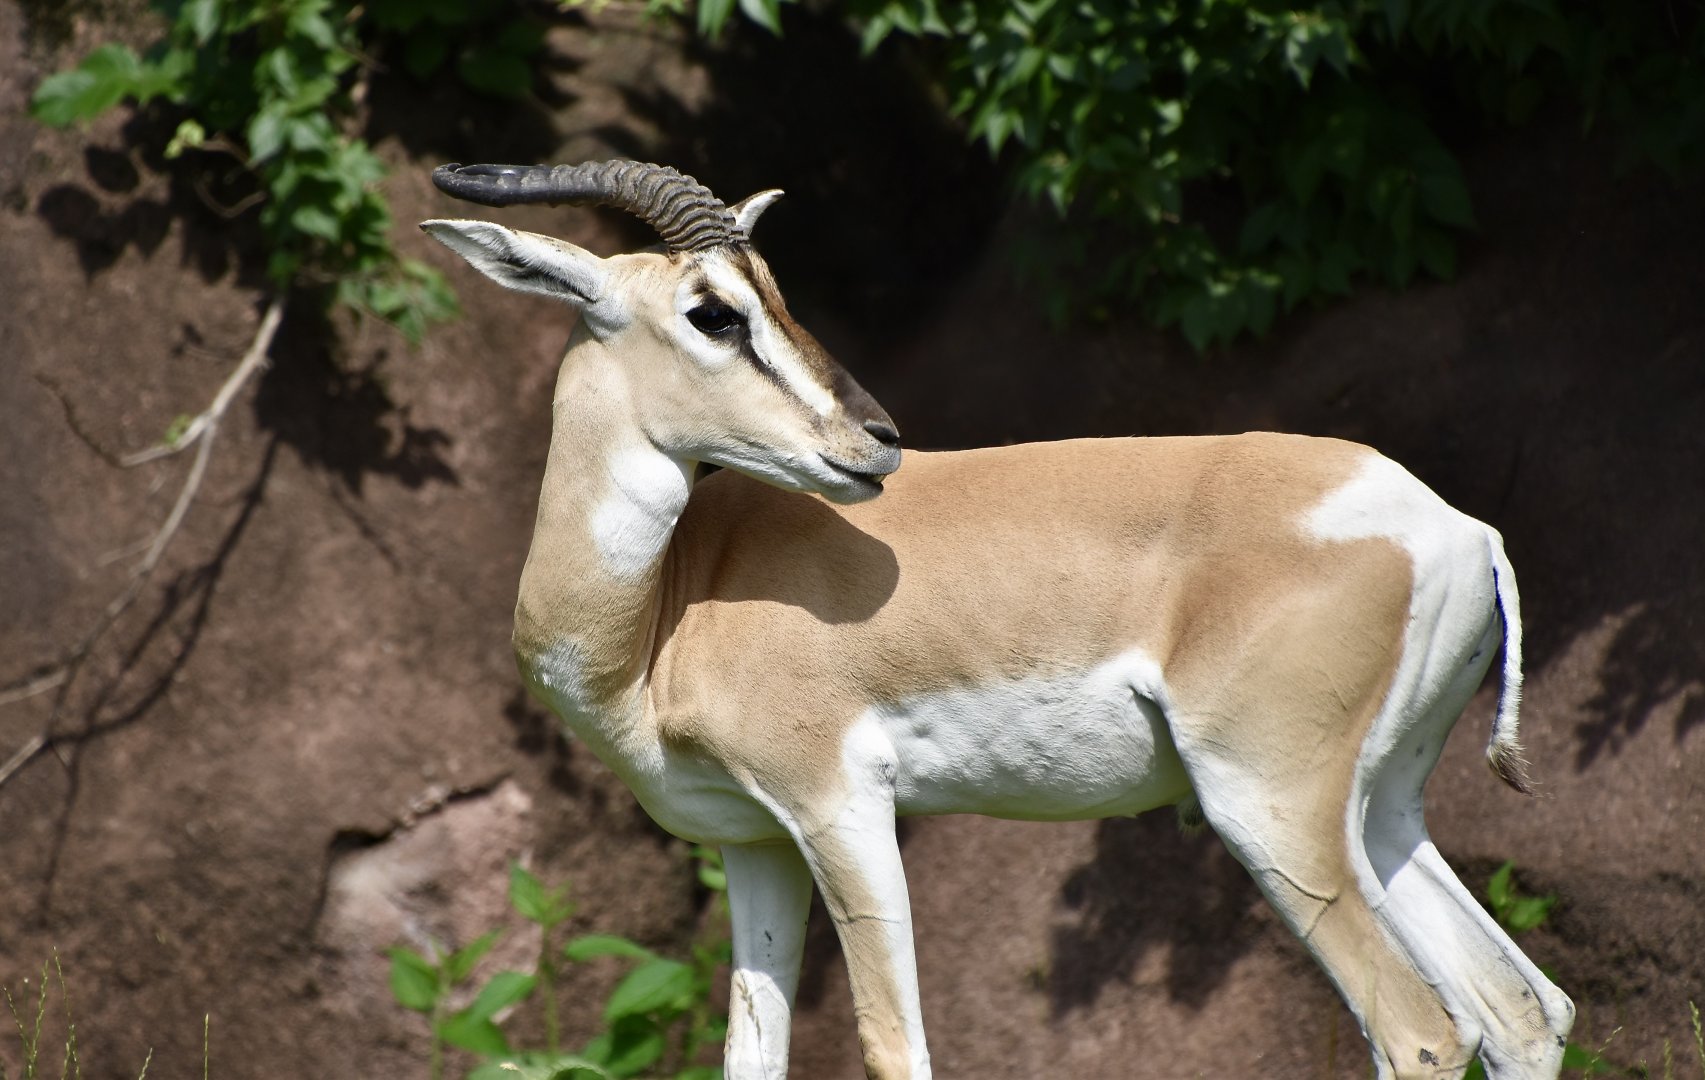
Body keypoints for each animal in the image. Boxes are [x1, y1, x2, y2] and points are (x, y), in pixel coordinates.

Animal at [421, 160, 1575, 1080]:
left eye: (768, 295)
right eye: (716, 311)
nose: (876, 437)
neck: (666, 610)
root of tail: (1452, 525)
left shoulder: (841, 808)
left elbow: (894, 1049)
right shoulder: (755, 843)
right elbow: (750, 1055)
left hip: (1267, 805)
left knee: (1421, 1034)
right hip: (1381, 811)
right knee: (1522, 1011)